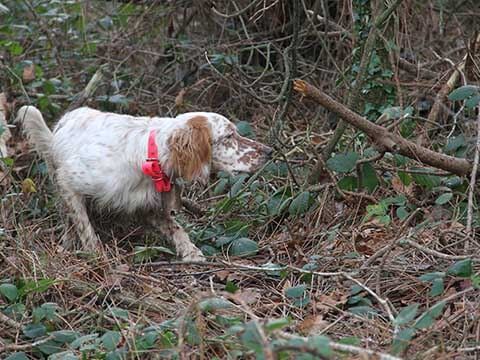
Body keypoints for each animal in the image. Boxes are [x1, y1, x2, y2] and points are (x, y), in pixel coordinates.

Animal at [16, 105, 272, 260]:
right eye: (229, 136)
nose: (270, 151)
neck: (152, 156)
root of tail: (67, 118)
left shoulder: (147, 207)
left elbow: (177, 228)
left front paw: (191, 253)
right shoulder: (70, 182)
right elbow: (85, 229)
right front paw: (98, 258)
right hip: (58, 181)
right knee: (68, 221)